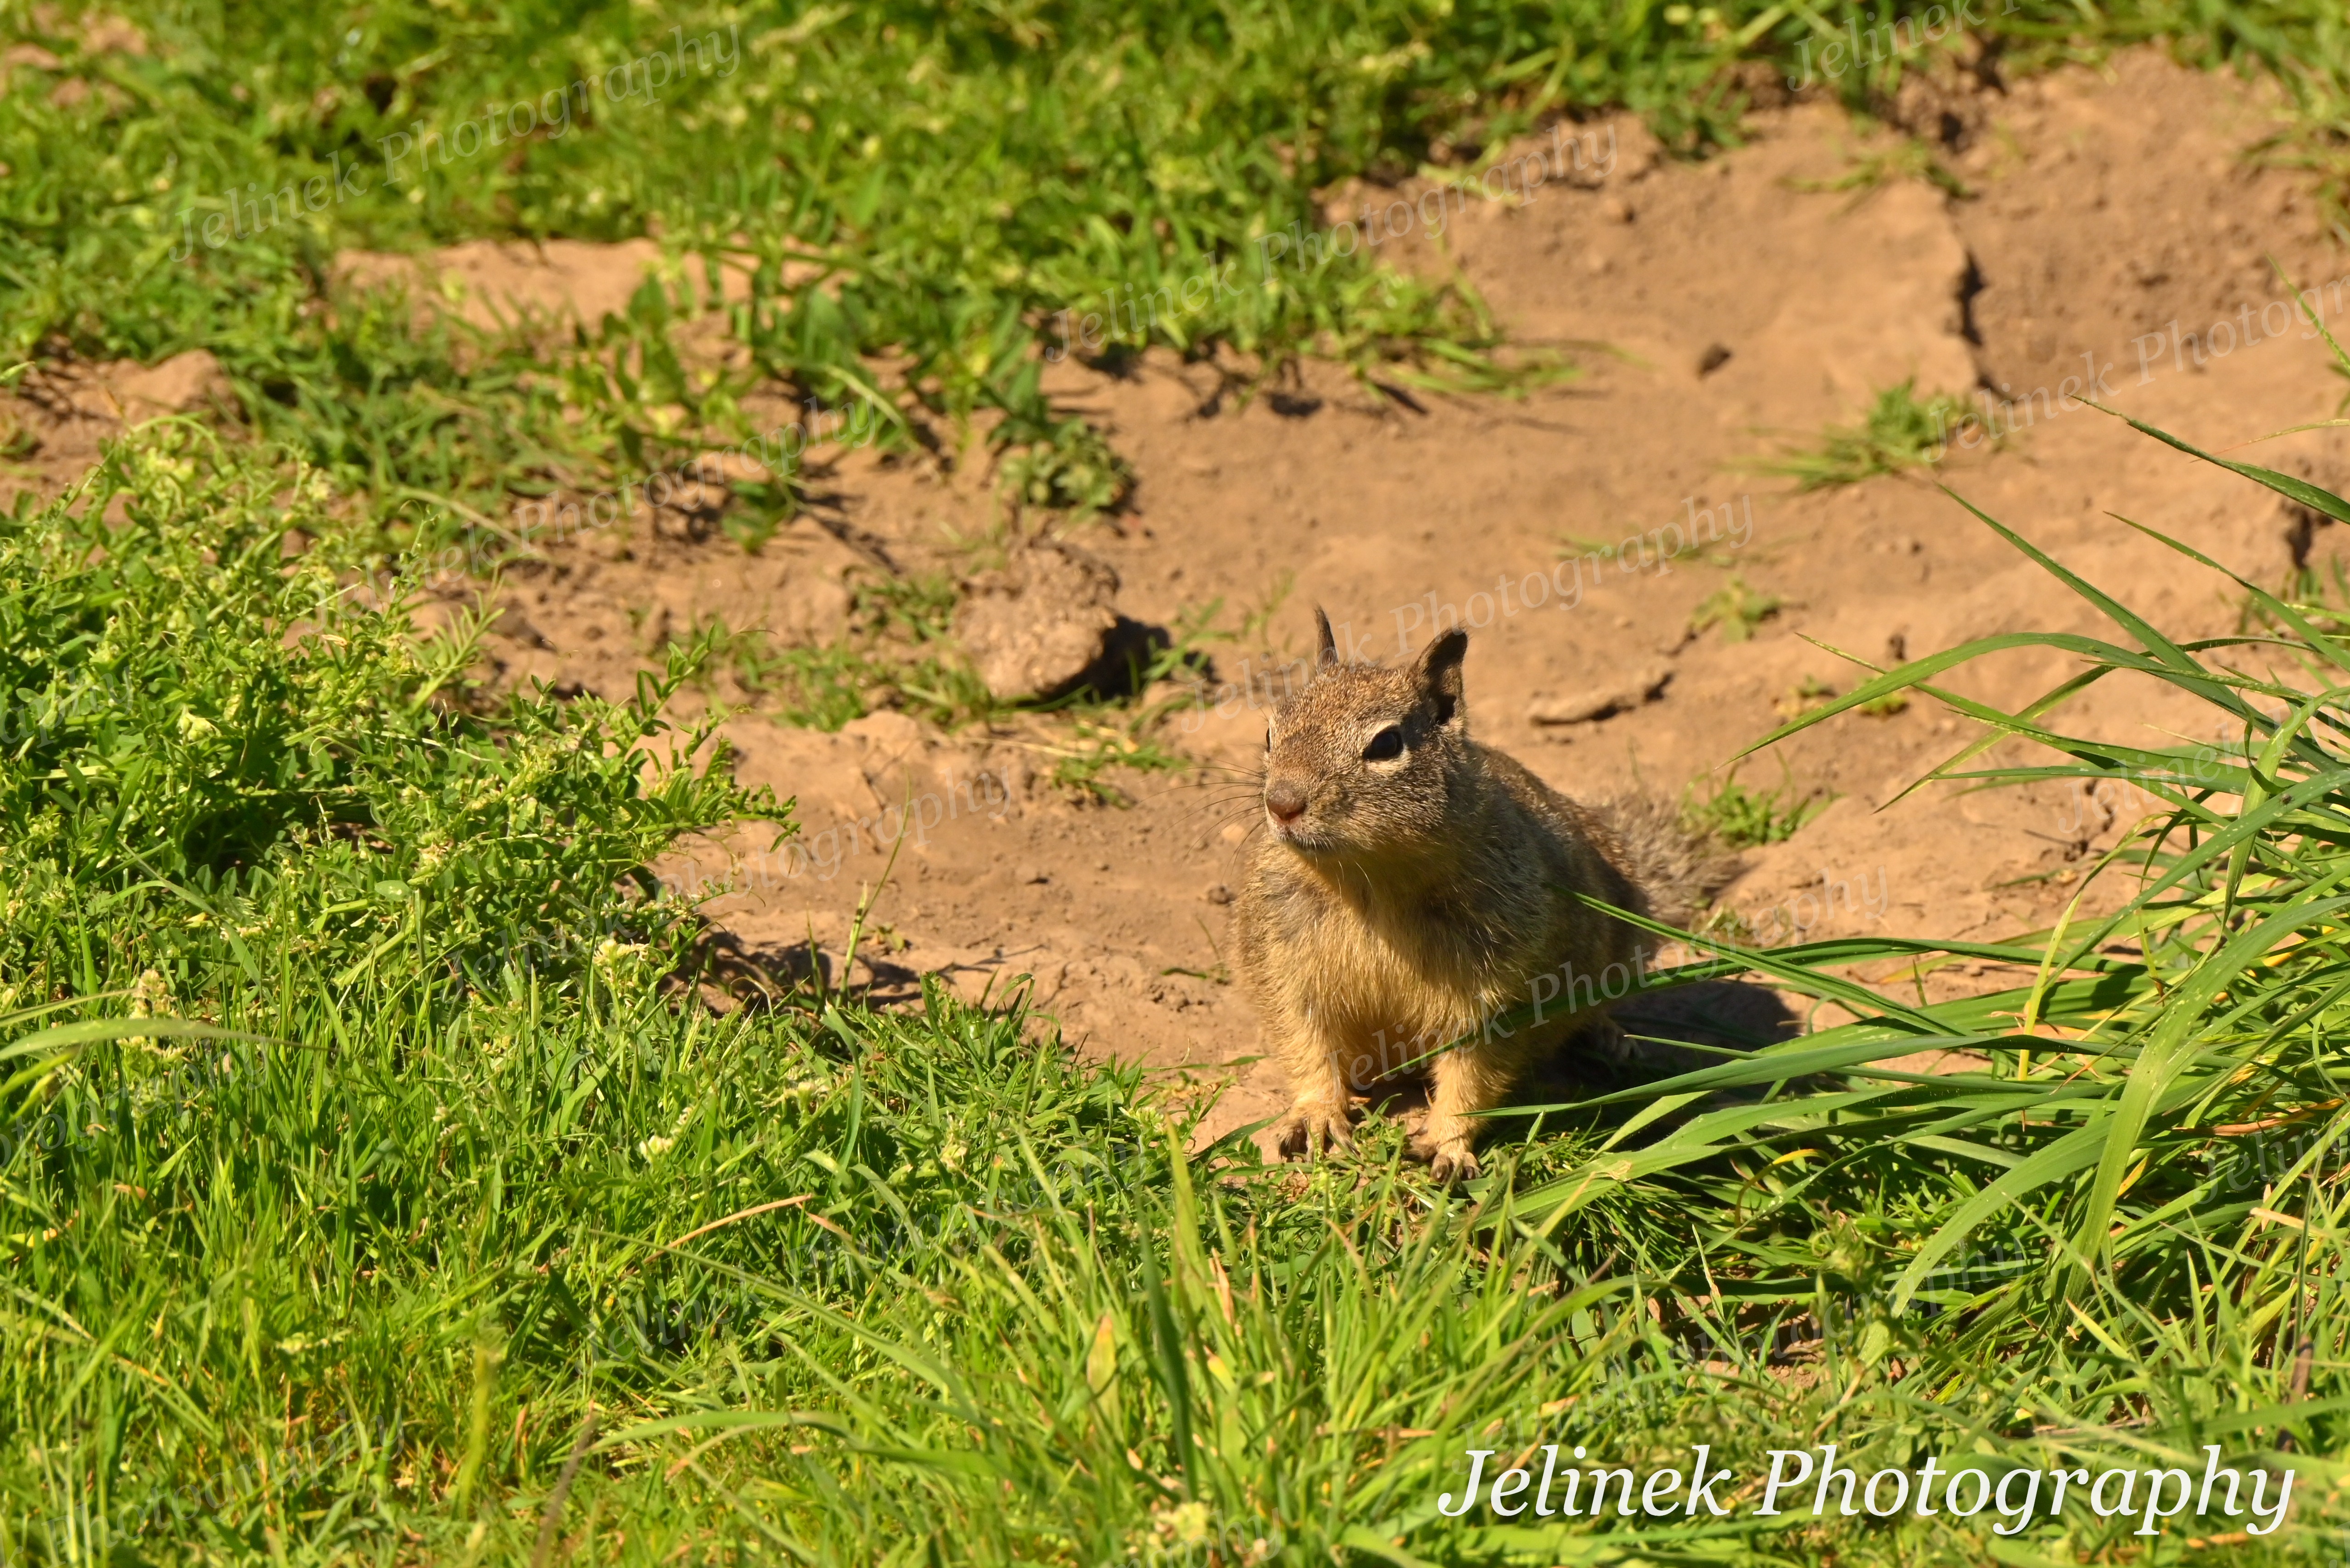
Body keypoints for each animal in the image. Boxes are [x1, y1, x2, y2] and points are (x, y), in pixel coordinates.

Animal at [1232, 609, 1735, 1180]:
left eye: (1386, 744)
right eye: (1269, 731)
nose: (1281, 802)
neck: (1368, 880)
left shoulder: (1503, 989)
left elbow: (1474, 1068)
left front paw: (1447, 1142)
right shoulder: (1281, 963)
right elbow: (1303, 1041)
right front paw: (1316, 1111)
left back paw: (1606, 1034)